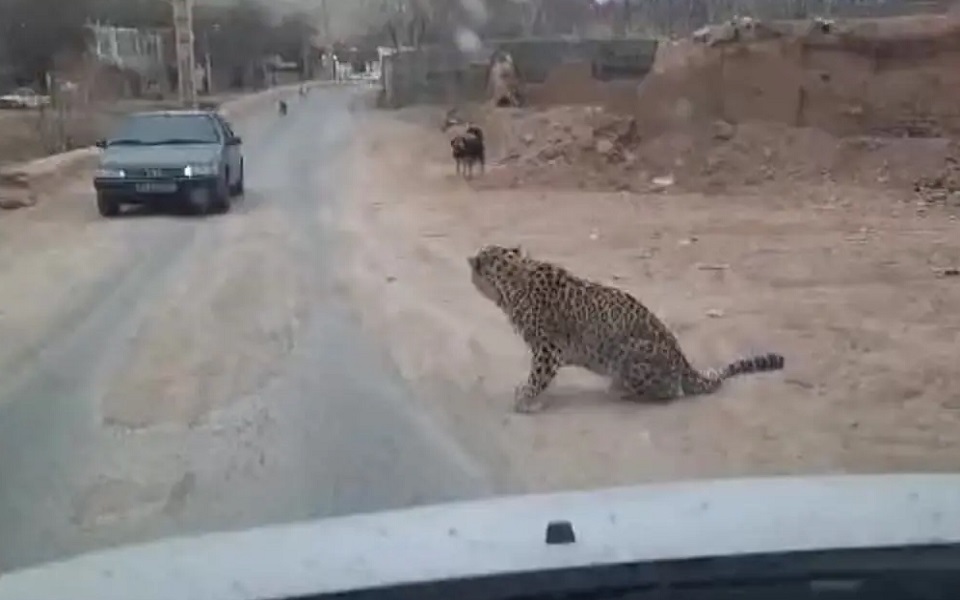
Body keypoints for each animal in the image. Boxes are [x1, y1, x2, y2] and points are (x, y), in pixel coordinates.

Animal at [466, 244, 788, 412]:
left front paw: (526, 399)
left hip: (627, 351)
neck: (511, 280)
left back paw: (621, 390)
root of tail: (683, 361)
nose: (470, 262)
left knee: (673, 391)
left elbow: (538, 376)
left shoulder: (548, 349)